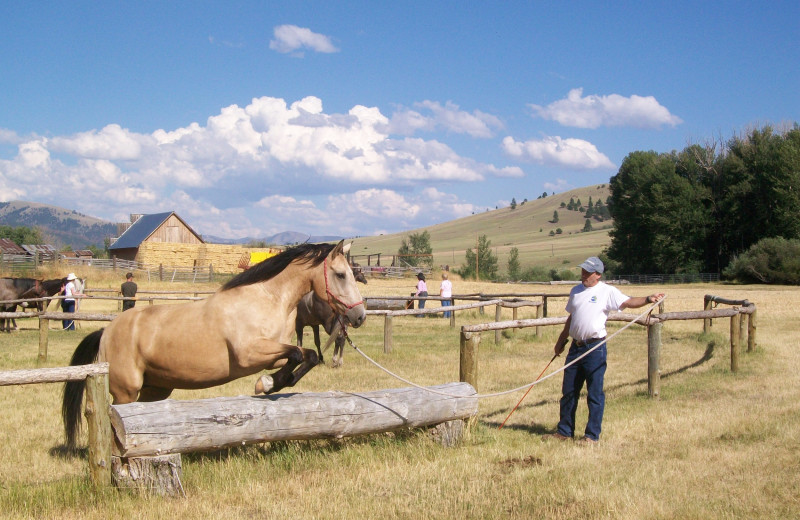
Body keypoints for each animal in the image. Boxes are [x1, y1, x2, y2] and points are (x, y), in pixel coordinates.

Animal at [61, 241, 368, 446]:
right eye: (341, 274)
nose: (359, 316)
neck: (267, 298)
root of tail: (106, 331)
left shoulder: (273, 353)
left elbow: (307, 356)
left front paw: (273, 383)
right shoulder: (249, 354)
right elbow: (298, 354)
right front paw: (265, 383)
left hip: (155, 389)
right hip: (126, 391)